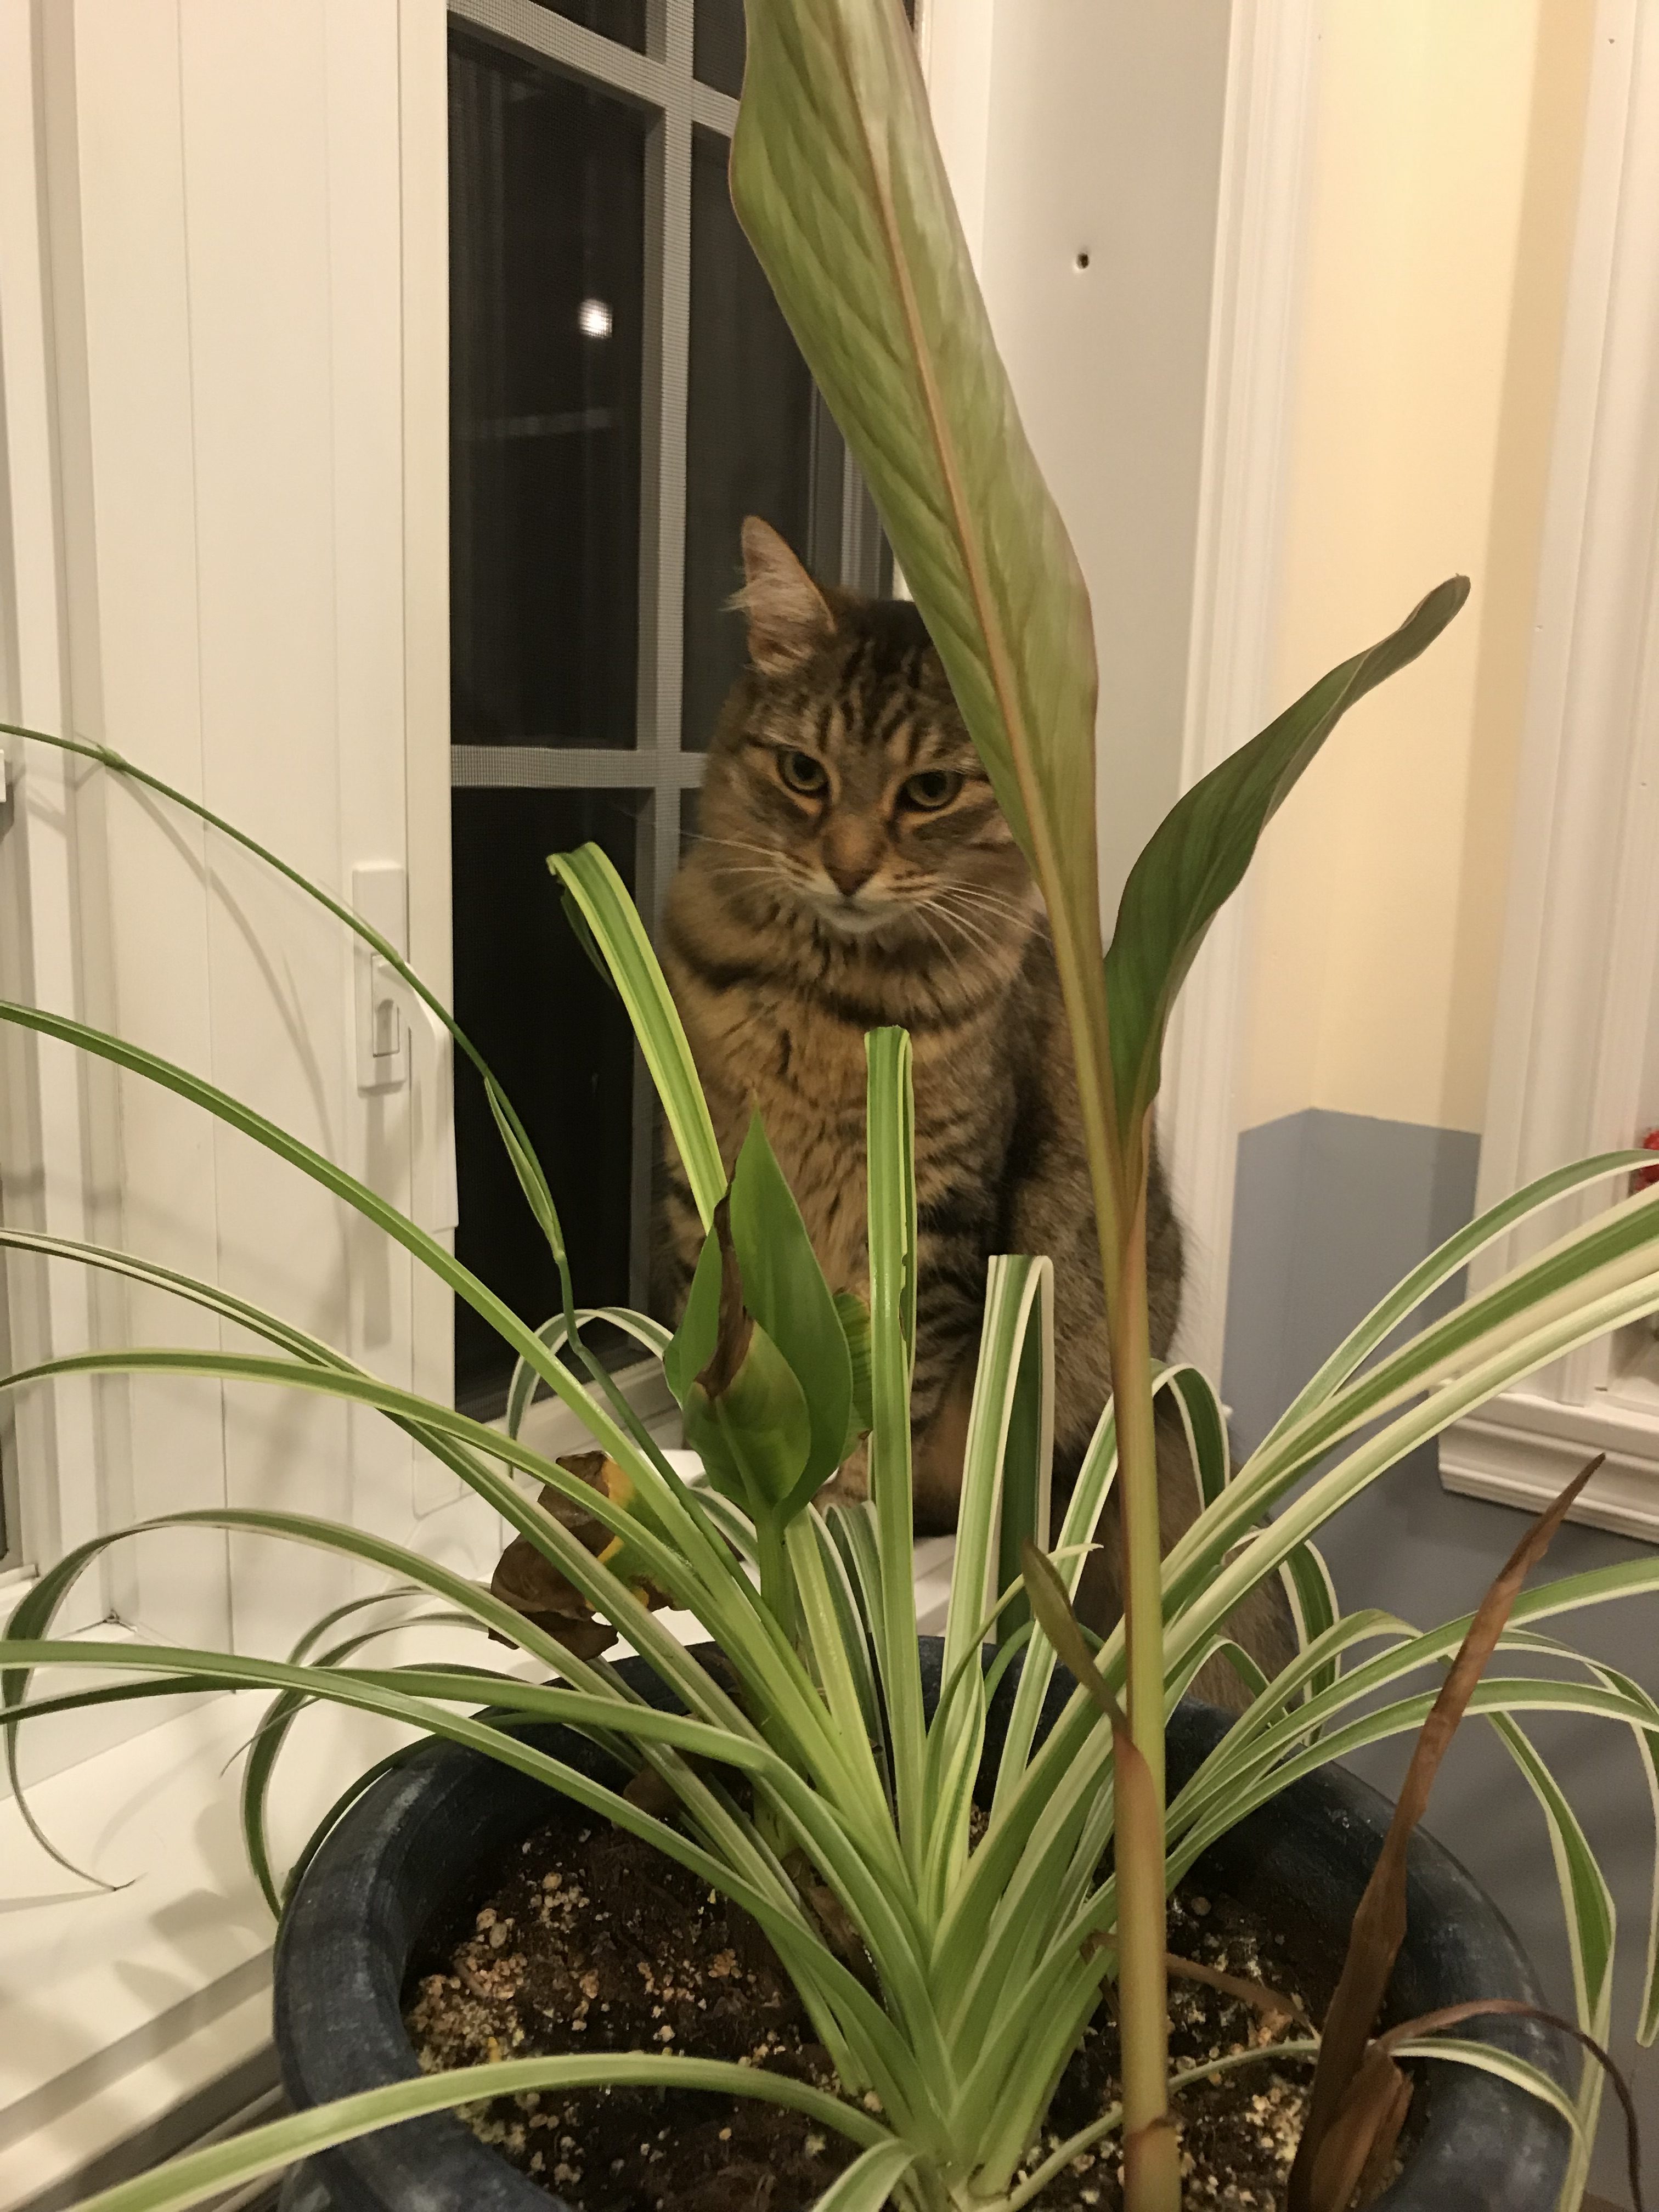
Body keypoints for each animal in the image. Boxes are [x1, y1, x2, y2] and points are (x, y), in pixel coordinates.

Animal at [663, 522, 1300, 1690]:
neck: (828, 995)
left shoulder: (938, 1210)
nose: (847, 870)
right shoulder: (713, 1183)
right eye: (804, 774)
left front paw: (840, 1510)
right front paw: (733, 1497)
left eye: (926, 792)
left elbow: (888, 1399)